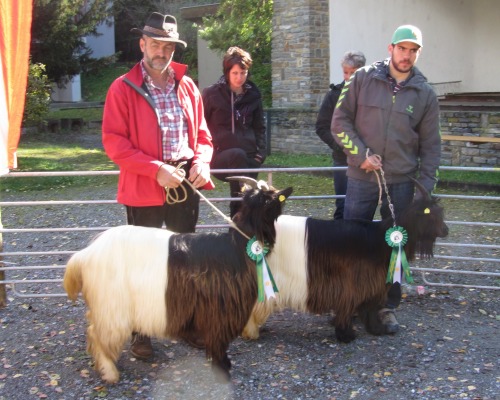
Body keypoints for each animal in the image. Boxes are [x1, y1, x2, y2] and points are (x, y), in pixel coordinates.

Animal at [62, 179, 292, 384]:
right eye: (270, 199)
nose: (286, 191)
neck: (239, 245)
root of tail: (85, 255)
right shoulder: (219, 311)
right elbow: (219, 341)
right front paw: (223, 370)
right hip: (111, 304)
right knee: (99, 334)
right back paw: (109, 372)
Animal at [243, 180, 450, 342]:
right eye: (431, 214)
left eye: (441, 212)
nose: (446, 230)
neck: (381, 240)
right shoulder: (354, 282)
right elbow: (359, 305)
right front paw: (347, 334)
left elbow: (369, 307)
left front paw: (374, 329)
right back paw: (251, 330)